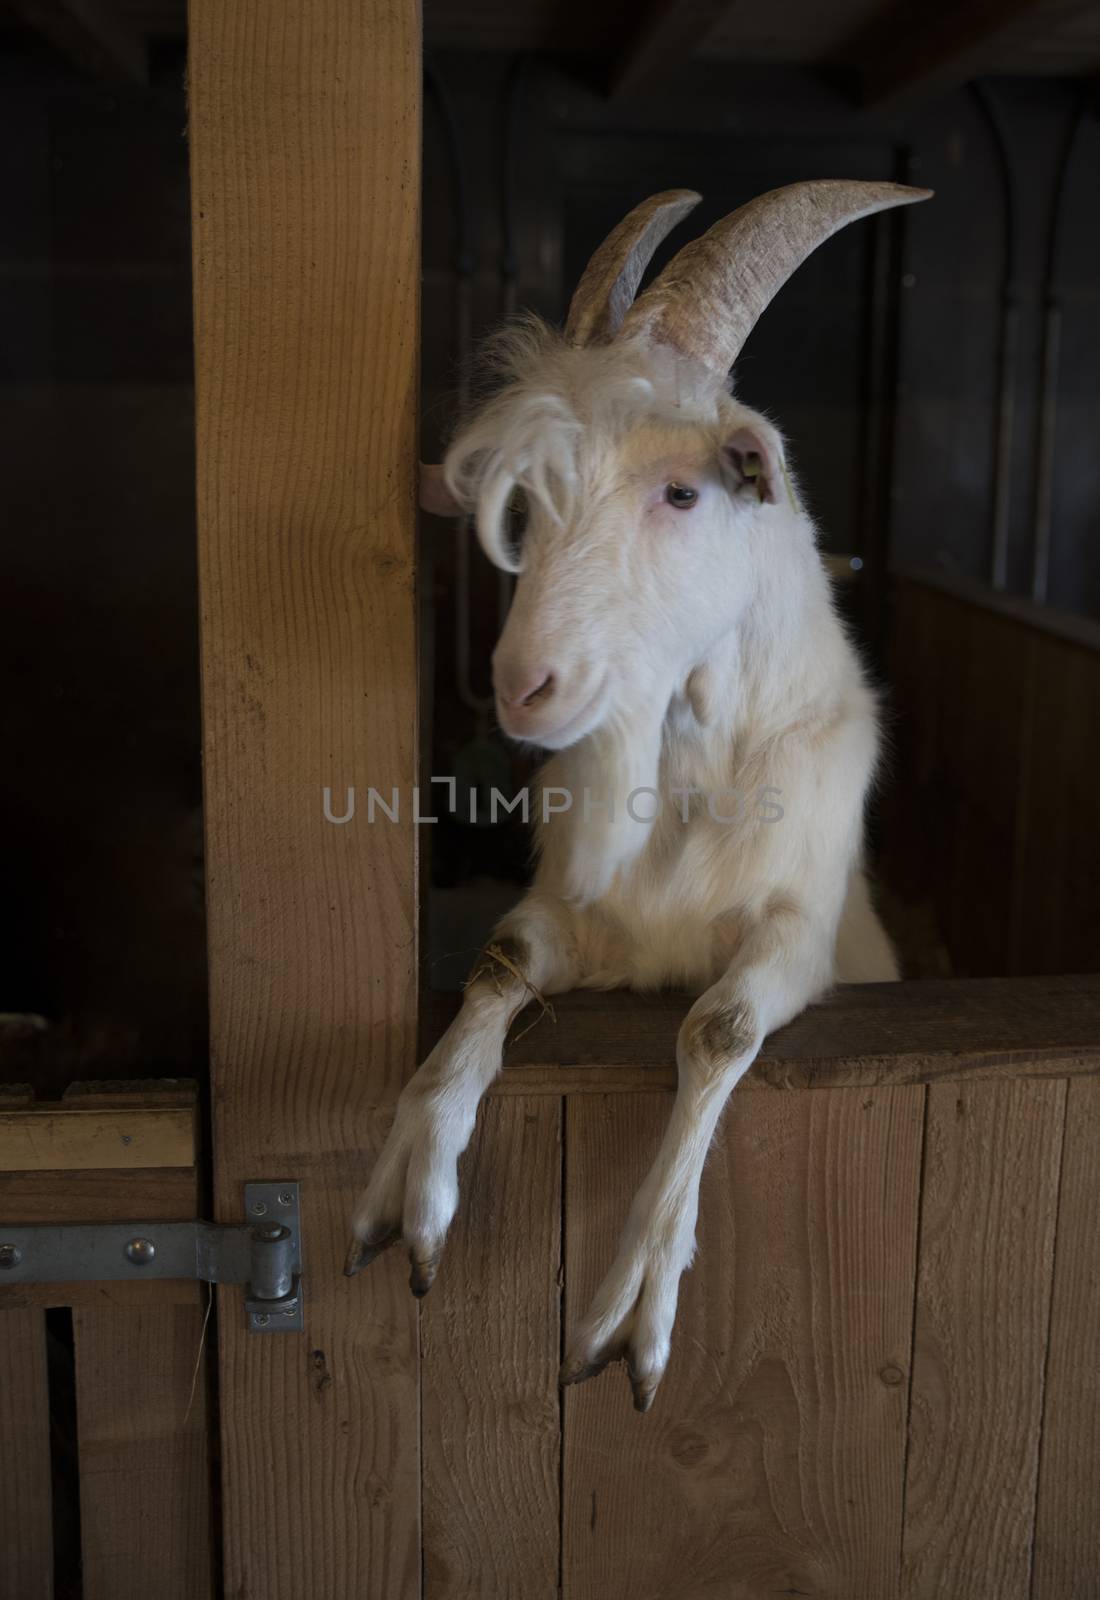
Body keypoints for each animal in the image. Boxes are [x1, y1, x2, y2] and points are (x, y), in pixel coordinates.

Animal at [350, 178, 927, 1414]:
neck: (693, 781)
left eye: (681, 490)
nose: (525, 685)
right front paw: (411, 1182)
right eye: (526, 505)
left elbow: (717, 1024)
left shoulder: (799, 933)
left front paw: (630, 1311)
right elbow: (502, 962)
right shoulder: (579, 917)